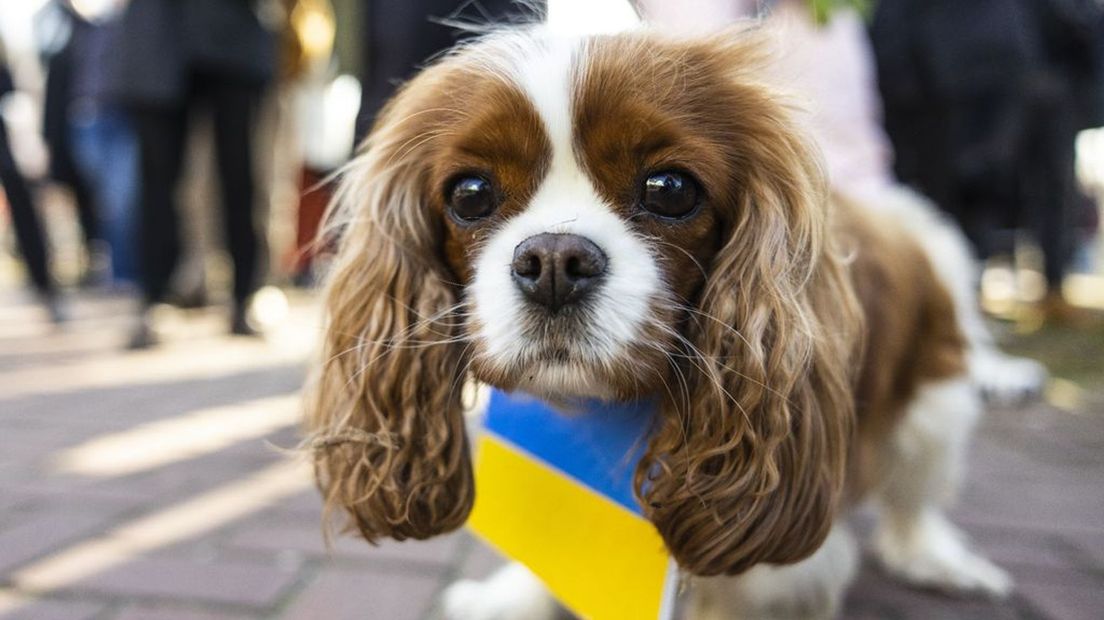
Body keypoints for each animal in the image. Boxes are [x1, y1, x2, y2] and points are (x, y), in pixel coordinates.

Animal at [304, 22, 1024, 617]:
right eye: (471, 194)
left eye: (670, 189)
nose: (554, 260)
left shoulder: (775, 575)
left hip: (938, 402)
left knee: (914, 497)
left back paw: (937, 558)